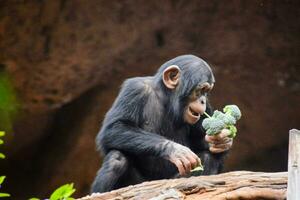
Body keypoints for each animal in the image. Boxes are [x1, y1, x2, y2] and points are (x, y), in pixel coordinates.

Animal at [91, 54, 234, 192]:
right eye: (201, 89)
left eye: (207, 92)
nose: (203, 101)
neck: (166, 99)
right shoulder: (134, 90)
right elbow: (115, 127)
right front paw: (175, 150)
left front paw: (222, 140)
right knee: (116, 159)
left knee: (208, 158)